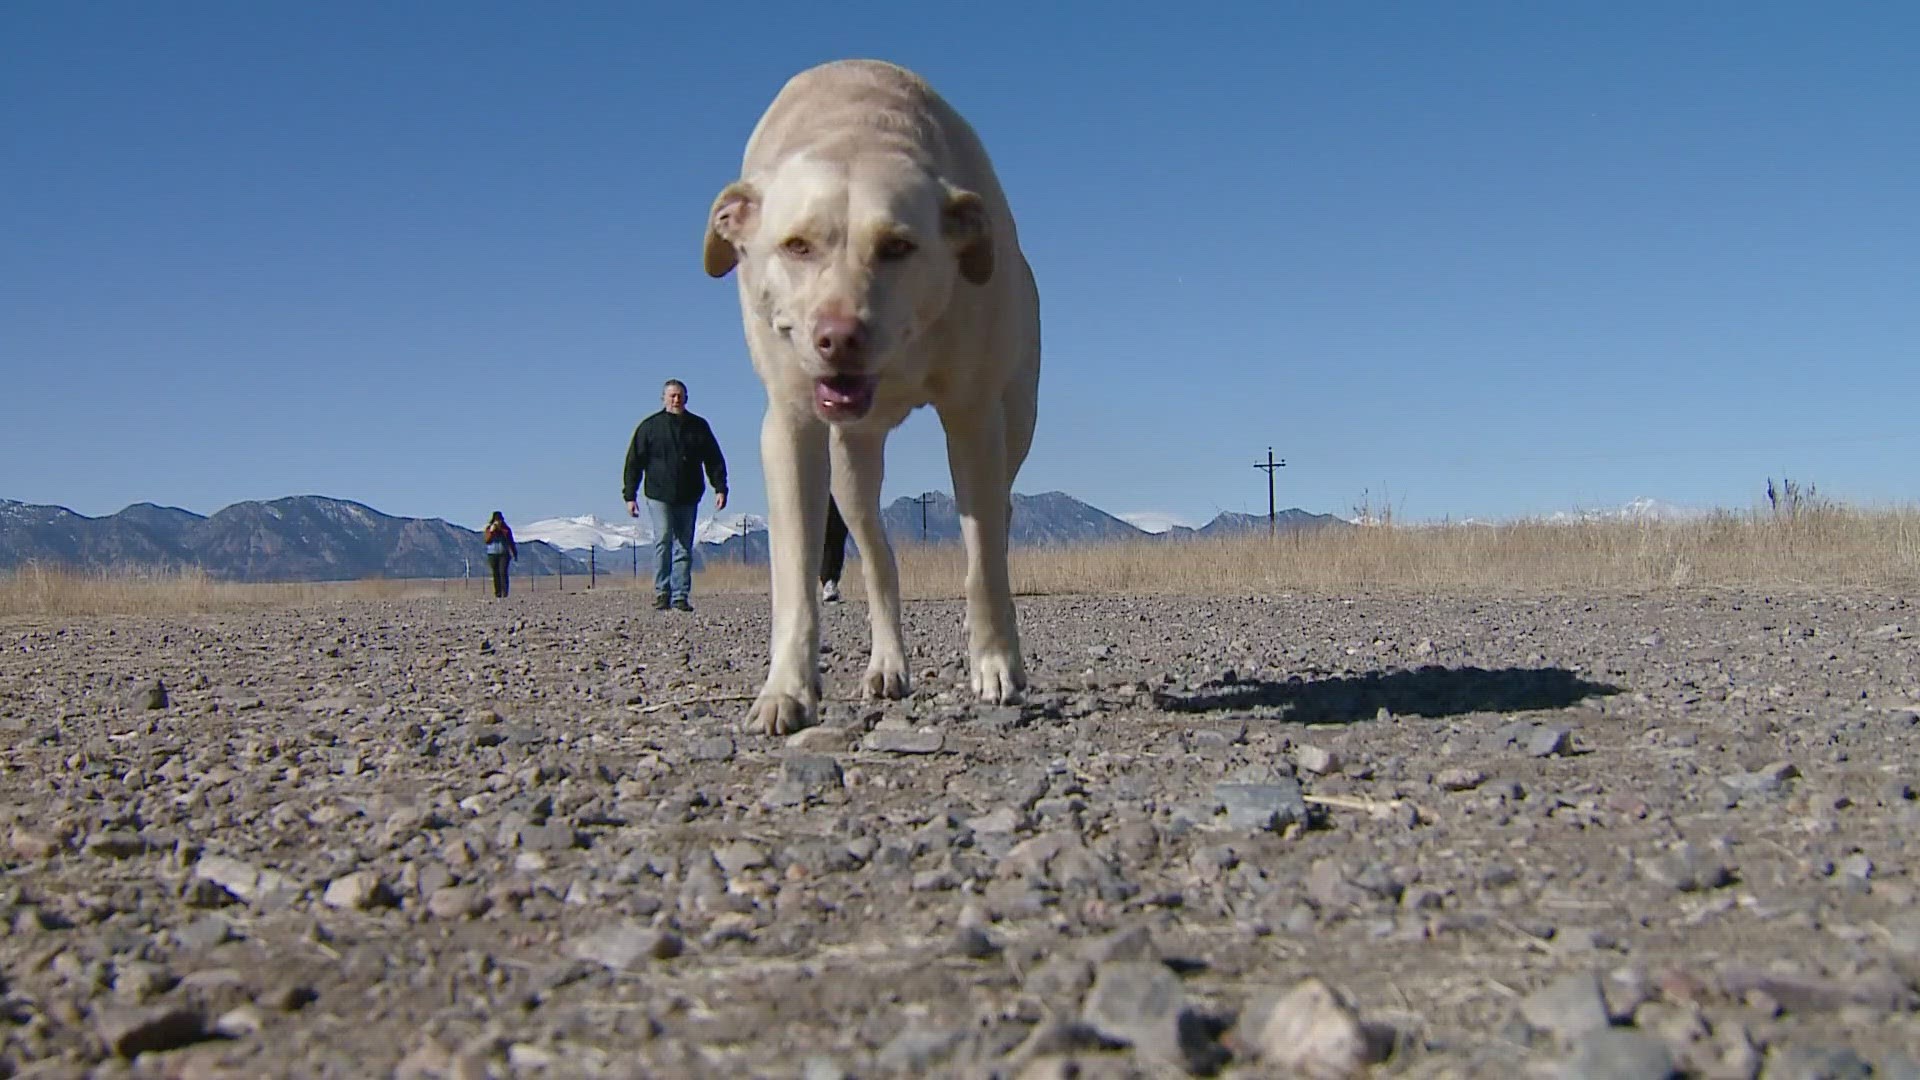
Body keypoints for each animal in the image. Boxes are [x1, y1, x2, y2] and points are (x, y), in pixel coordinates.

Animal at [698, 58, 1044, 730]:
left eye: (897, 247)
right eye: (796, 245)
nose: (839, 337)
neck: (856, 125)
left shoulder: (972, 418)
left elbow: (982, 563)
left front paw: (995, 663)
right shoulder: (790, 426)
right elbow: (796, 574)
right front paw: (786, 689)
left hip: (1016, 421)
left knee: (998, 518)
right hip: (851, 469)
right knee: (879, 557)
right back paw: (886, 665)